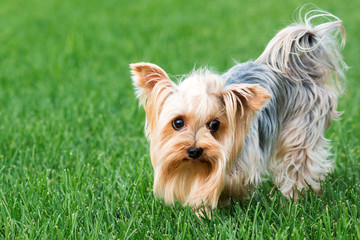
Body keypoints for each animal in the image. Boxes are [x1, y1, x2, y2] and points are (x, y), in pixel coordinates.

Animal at [129, 9, 346, 213]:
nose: (194, 150)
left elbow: (230, 180)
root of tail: (298, 68)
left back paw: (294, 198)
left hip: (302, 128)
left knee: (299, 163)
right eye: (178, 123)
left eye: (214, 124)